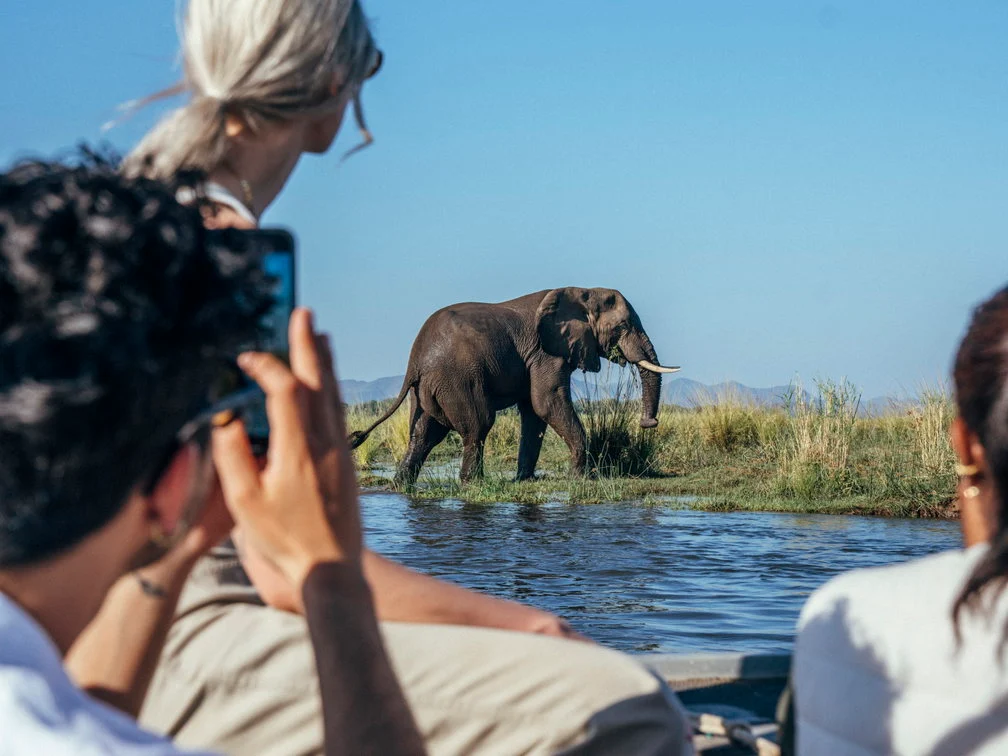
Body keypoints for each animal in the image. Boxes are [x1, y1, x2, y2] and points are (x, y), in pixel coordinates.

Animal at [349, 287, 679, 485]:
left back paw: (402, 483)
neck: (582, 290)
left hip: (428, 389)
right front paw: (579, 479)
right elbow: (547, 402)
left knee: (424, 433)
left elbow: (534, 413)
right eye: (623, 327)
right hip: (457, 379)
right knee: (478, 425)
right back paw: (473, 483)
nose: (648, 423)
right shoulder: (547, 352)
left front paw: (526, 480)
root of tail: (415, 361)